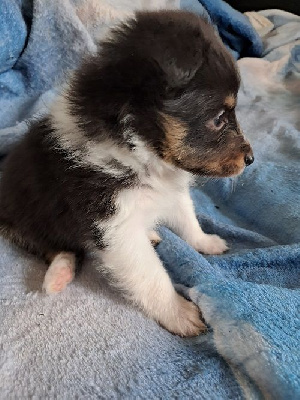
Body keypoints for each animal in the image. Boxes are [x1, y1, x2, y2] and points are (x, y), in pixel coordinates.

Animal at [0, 10, 253, 338]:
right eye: (219, 119)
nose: (250, 159)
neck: (142, 152)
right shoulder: (113, 223)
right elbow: (151, 275)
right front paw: (181, 315)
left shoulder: (171, 191)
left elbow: (188, 218)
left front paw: (207, 242)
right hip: (25, 219)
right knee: (52, 247)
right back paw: (59, 273)